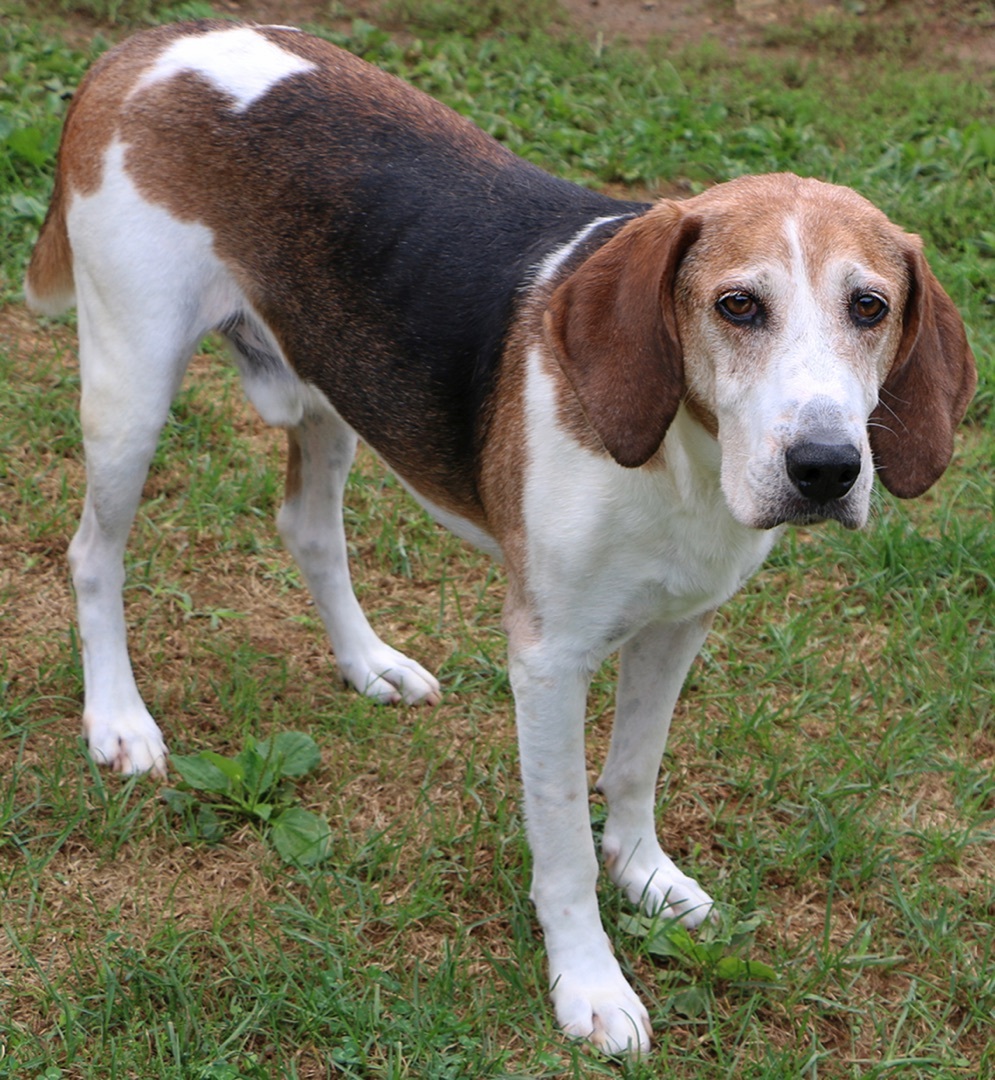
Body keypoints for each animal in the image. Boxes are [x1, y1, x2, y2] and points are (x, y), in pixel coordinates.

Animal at [27, 21, 976, 1058]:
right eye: (737, 306)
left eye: (869, 307)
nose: (825, 468)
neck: (680, 458)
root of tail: (151, 42)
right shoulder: (547, 660)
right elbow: (561, 841)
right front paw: (589, 983)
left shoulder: (677, 624)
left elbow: (634, 770)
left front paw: (644, 875)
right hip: (131, 387)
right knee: (94, 556)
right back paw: (119, 722)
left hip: (329, 385)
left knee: (307, 529)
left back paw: (370, 663)